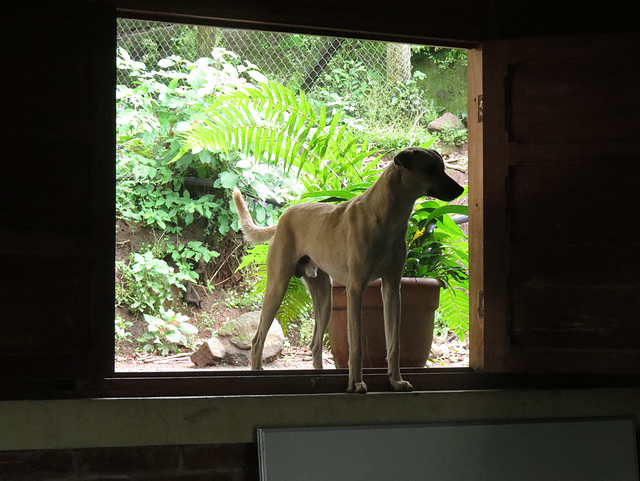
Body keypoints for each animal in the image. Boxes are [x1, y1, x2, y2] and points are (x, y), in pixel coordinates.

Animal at [232, 148, 462, 392]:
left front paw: (396, 380)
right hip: (278, 287)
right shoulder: (355, 290)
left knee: (315, 344)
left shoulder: (392, 289)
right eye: (429, 169)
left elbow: (394, 344)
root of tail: (284, 217)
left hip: (325, 297)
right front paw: (357, 382)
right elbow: (356, 346)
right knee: (258, 339)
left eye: (442, 167)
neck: (386, 217)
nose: (461, 190)